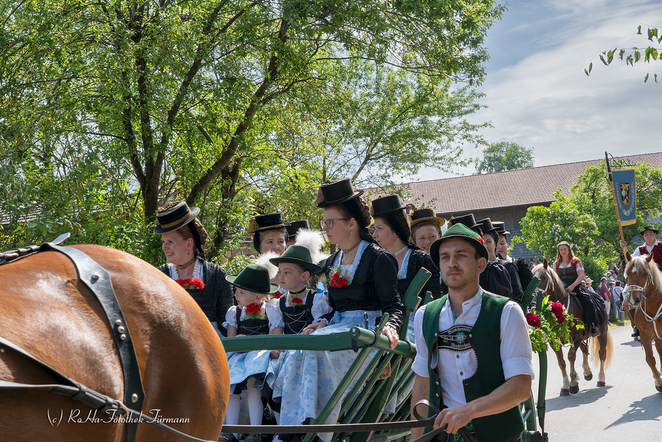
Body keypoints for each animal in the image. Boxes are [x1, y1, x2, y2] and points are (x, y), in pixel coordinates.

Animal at [532, 260, 613, 396]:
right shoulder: (555, 340)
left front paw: (574, 383)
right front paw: (565, 386)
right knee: (585, 349)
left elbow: (570, 356)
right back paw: (587, 373)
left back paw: (601, 379)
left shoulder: (577, 335)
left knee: (602, 353)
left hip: (601, 333)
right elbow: (561, 361)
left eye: (543, 278)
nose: (533, 302)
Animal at [623, 252, 662, 392]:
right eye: (628, 274)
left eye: (644, 274)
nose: (633, 300)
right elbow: (650, 359)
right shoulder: (646, 336)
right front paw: (658, 381)